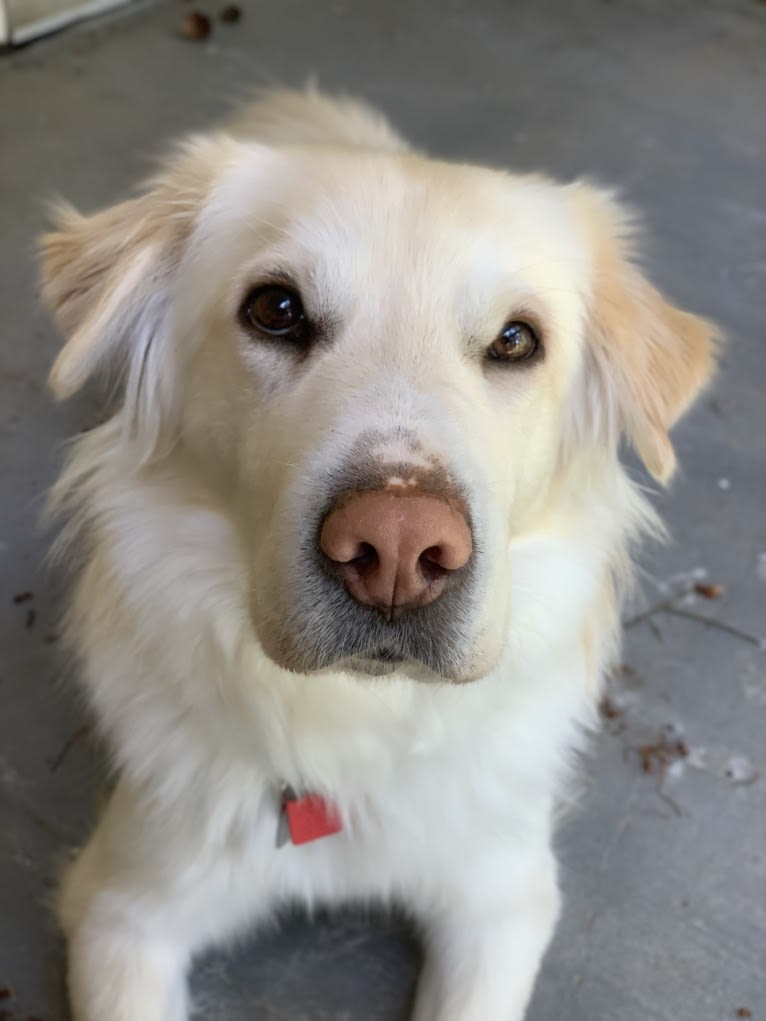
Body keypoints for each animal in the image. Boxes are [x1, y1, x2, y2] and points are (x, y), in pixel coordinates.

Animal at [41, 89, 719, 1021]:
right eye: (276, 309)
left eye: (516, 340)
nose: (398, 547)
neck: (357, 725)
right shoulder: (120, 909)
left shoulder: (503, 899)